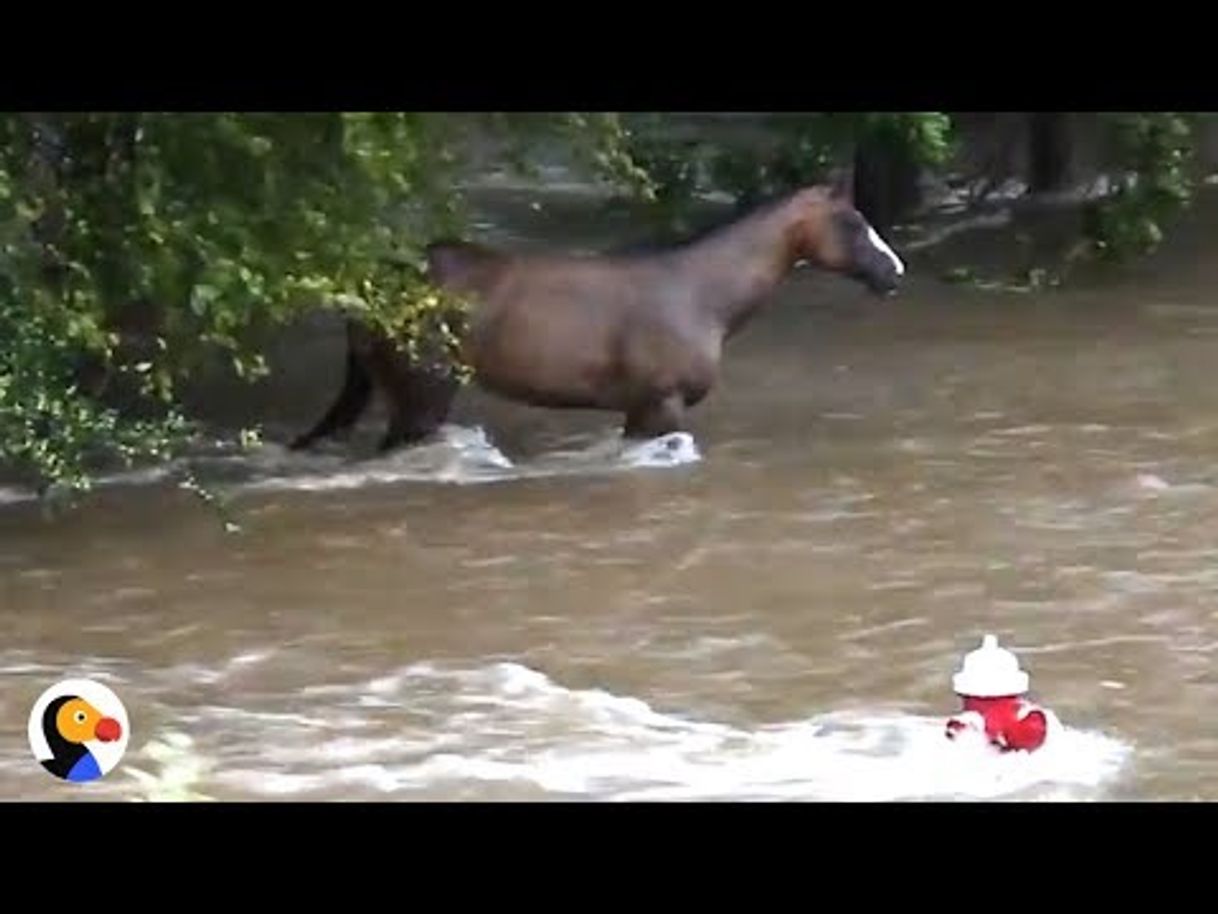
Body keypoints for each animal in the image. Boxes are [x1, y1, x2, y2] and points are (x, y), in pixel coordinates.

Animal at [292, 176, 906, 453]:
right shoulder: (662, 407)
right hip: (421, 401)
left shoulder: (638, 411)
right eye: (852, 222)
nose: (893, 272)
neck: (698, 293)